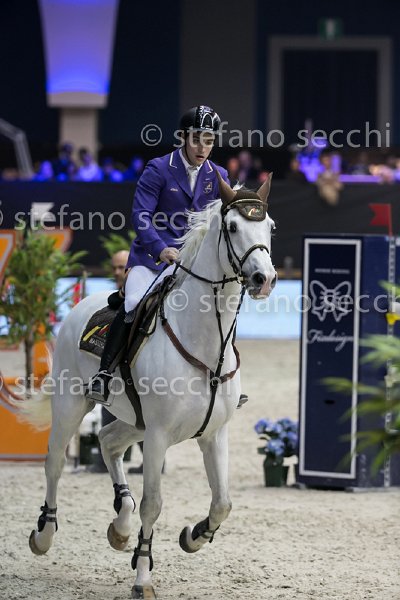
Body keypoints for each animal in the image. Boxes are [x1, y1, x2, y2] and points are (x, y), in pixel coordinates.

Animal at [21, 173, 277, 599]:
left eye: (269, 226)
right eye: (232, 227)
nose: (265, 279)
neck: (205, 343)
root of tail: (80, 303)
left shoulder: (214, 434)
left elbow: (222, 503)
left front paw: (193, 536)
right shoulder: (157, 436)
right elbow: (153, 504)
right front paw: (143, 577)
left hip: (133, 421)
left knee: (108, 442)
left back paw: (120, 528)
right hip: (72, 404)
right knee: (55, 462)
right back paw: (44, 535)